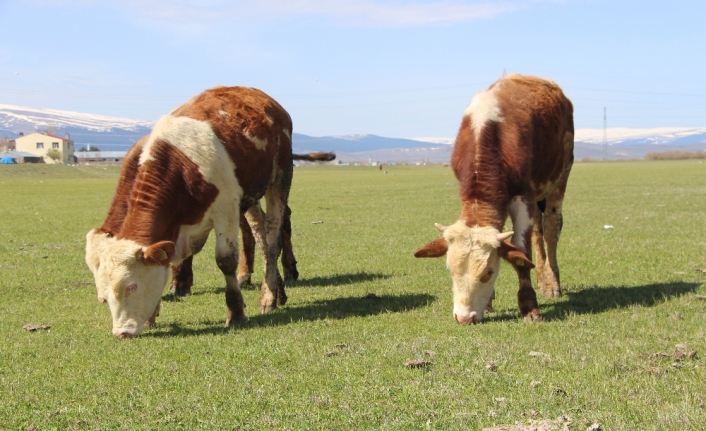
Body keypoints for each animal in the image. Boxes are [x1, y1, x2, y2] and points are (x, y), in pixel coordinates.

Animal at [86, 87, 294, 338]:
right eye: (104, 297)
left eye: (131, 286)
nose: (121, 332)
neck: (182, 168)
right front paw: (154, 312)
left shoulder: (226, 209)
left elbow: (226, 260)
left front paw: (235, 312)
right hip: (252, 194)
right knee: (259, 232)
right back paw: (277, 292)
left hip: (280, 177)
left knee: (272, 236)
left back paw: (268, 296)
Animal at [412, 74, 572, 324]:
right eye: (450, 271)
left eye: (488, 272)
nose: (464, 317)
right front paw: (488, 303)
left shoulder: (523, 197)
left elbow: (520, 252)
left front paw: (529, 306)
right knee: (538, 232)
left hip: (560, 177)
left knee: (551, 230)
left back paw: (551, 283)